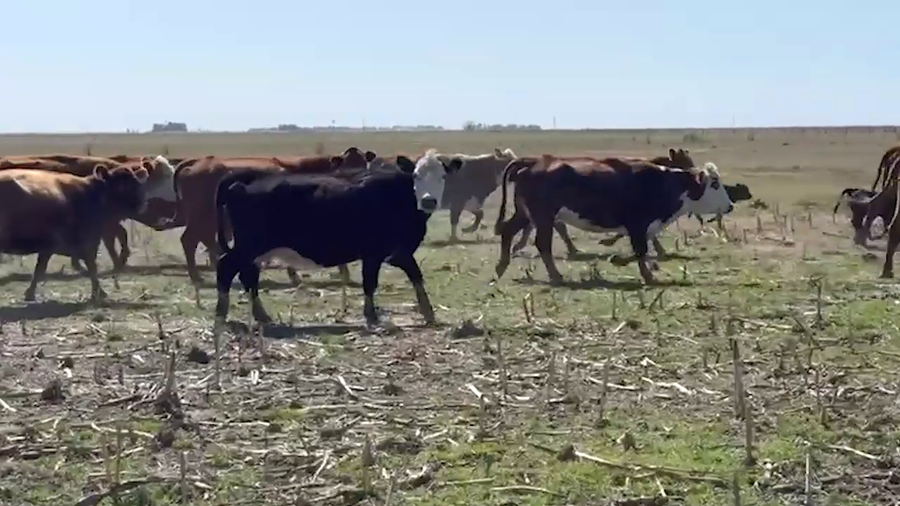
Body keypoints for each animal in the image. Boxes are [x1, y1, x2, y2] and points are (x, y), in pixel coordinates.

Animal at [0, 154, 178, 271]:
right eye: (163, 185)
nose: (169, 216)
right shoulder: (104, 223)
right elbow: (116, 237)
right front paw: (117, 261)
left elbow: (117, 237)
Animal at [0, 165, 150, 302]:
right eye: (121, 187)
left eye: (137, 183)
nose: (142, 204)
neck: (92, 193)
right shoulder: (87, 242)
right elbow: (90, 266)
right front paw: (99, 292)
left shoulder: (51, 248)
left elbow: (42, 269)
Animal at [173, 148, 375, 284]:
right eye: (347, 166)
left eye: (364, 163)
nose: (359, 180)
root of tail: (199, 163)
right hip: (202, 218)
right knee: (190, 241)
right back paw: (197, 276)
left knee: (203, 241)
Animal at [212, 149, 463, 327]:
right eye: (416, 175)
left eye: (442, 176)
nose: (429, 201)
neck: (398, 197)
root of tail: (244, 178)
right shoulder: (373, 253)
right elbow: (370, 283)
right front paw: (371, 316)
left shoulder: (397, 252)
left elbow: (416, 276)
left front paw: (428, 312)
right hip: (250, 245)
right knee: (227, 267)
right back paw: (223, 311)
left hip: (254, 250)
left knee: (248, 276)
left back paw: (260, 315)